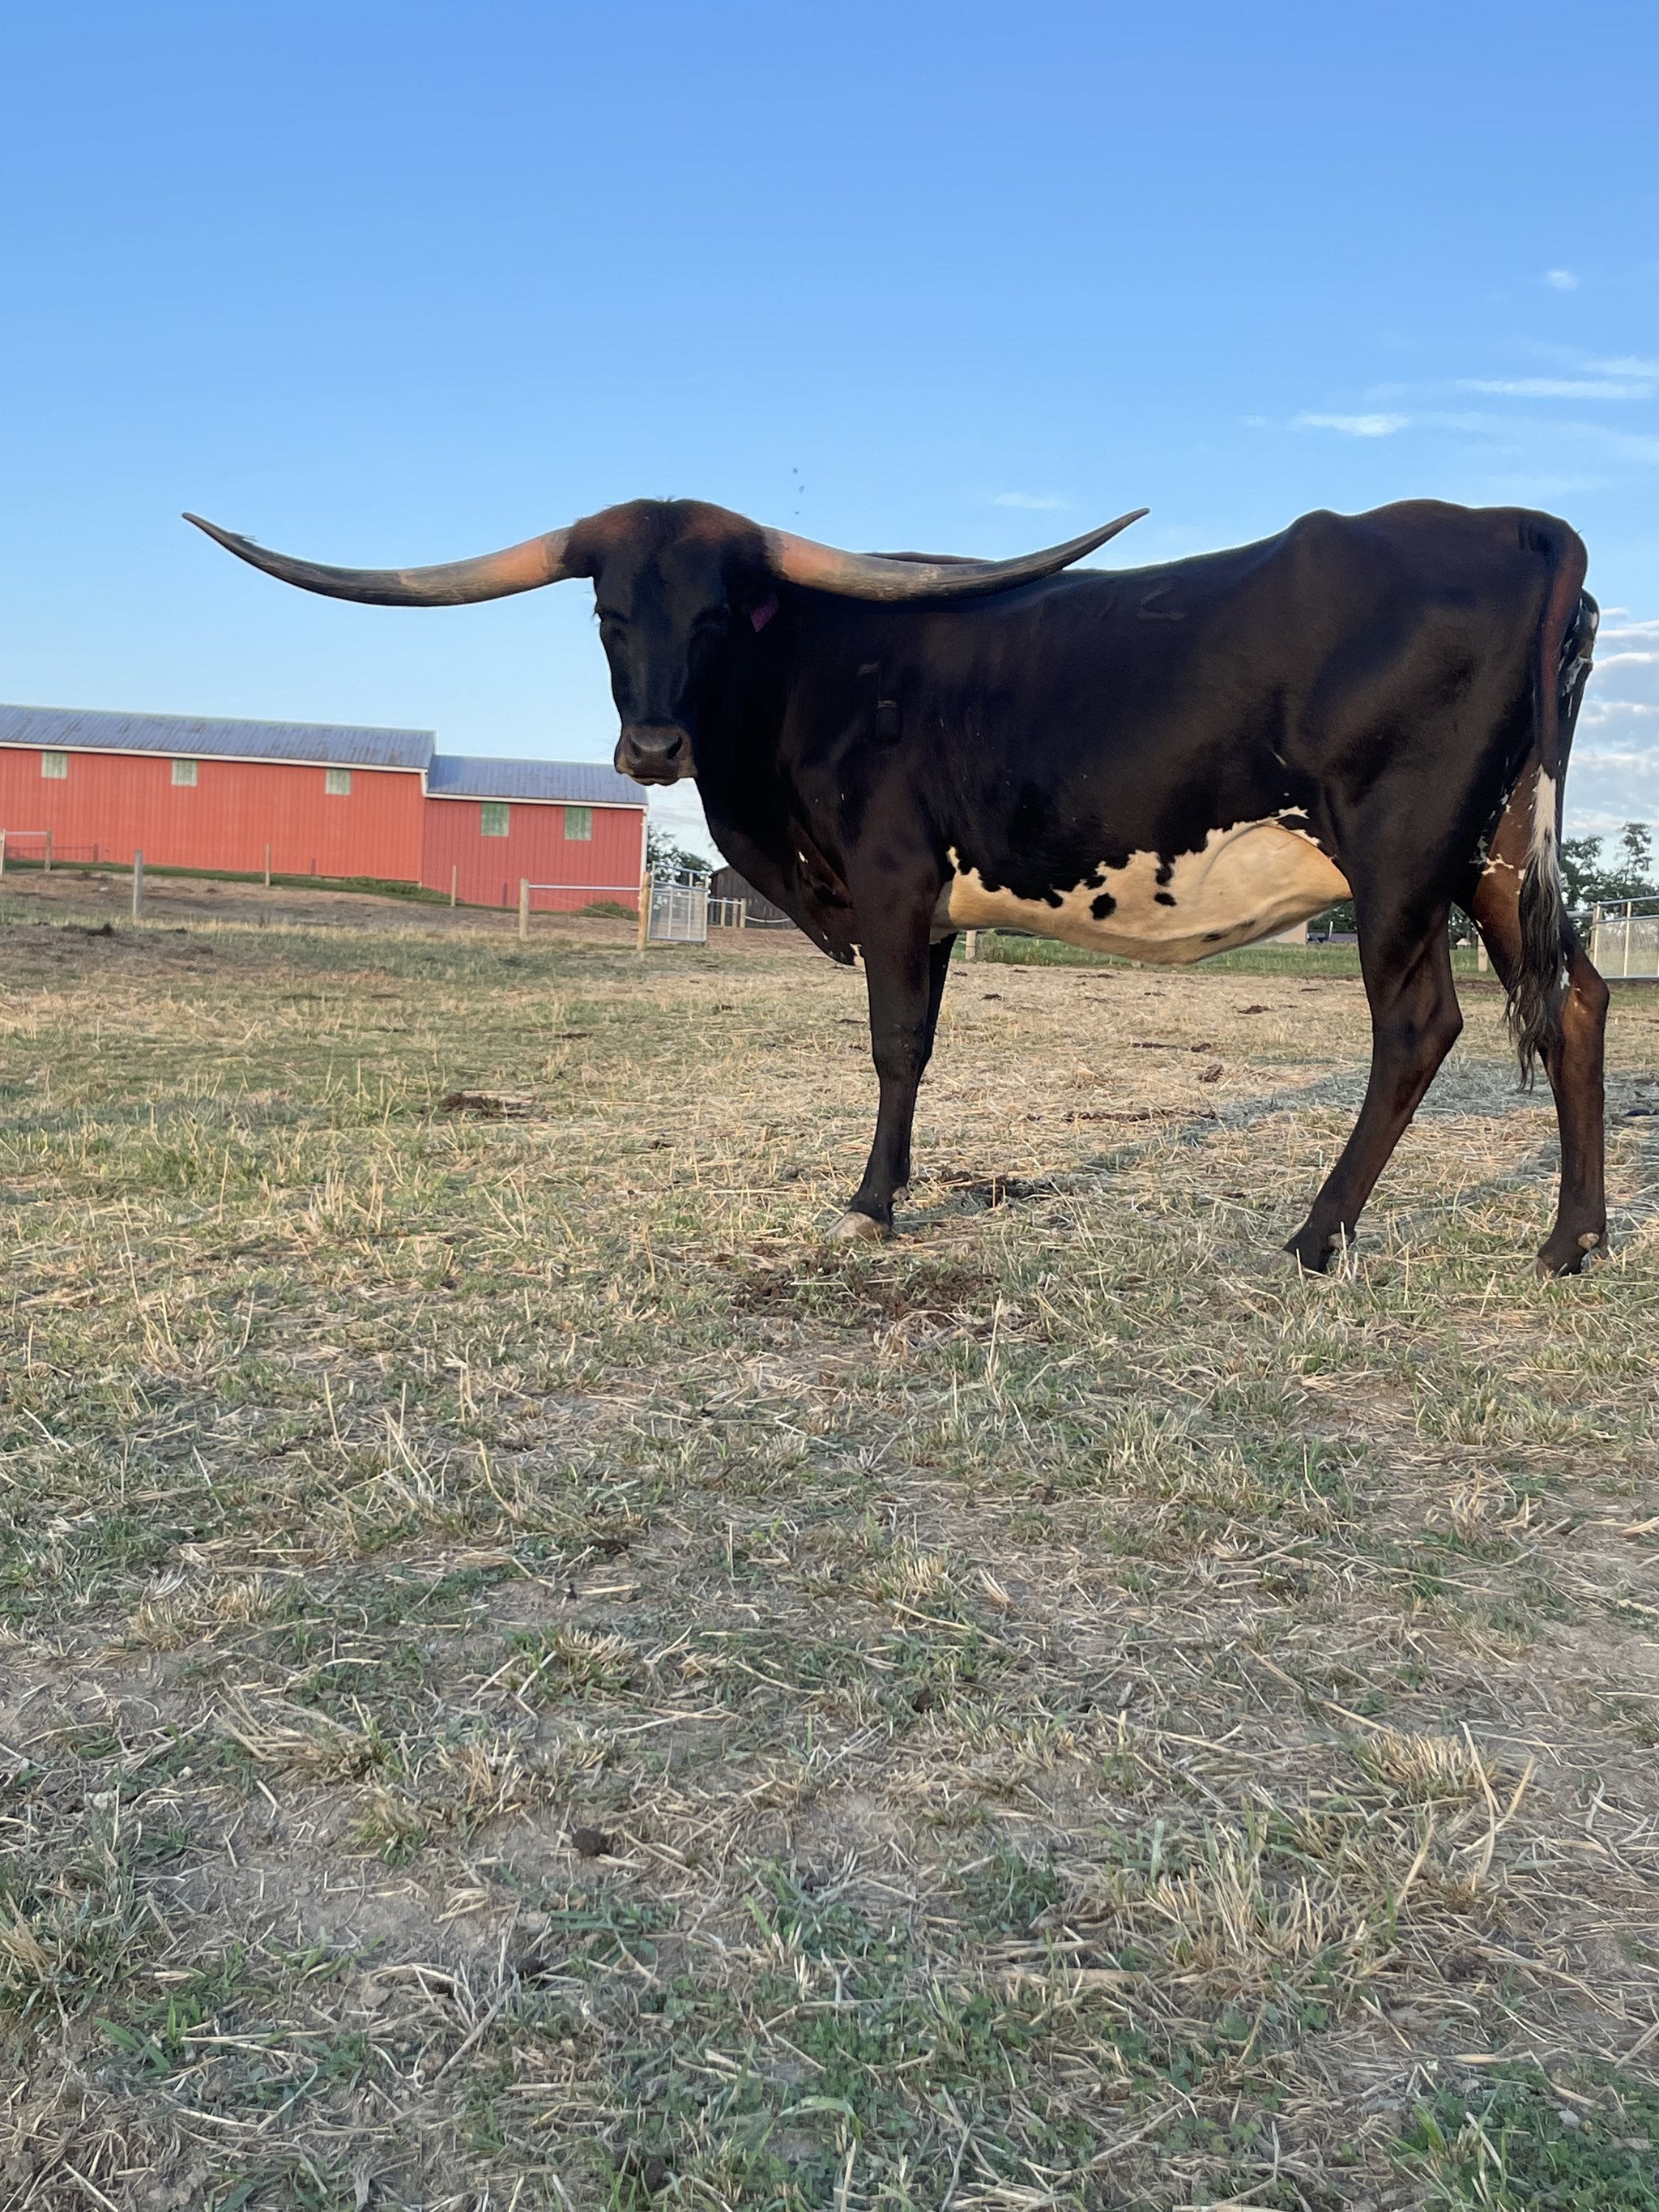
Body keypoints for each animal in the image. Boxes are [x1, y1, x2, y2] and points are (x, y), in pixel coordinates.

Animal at [186, 495, 1606, 1276]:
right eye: (606, 614)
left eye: (719, 611)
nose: (650, 748)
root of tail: (1520, 530)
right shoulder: (926, 907)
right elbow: (920, 1041)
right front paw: (899, 1184)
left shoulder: (888, 880)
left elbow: (895, 1042)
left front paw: (869, 1202)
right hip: (1495, 855)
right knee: (1580, 1001)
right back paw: (1573, 1241)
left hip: (1400, 855)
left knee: (1418, 1024)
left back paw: (1317, 1237)